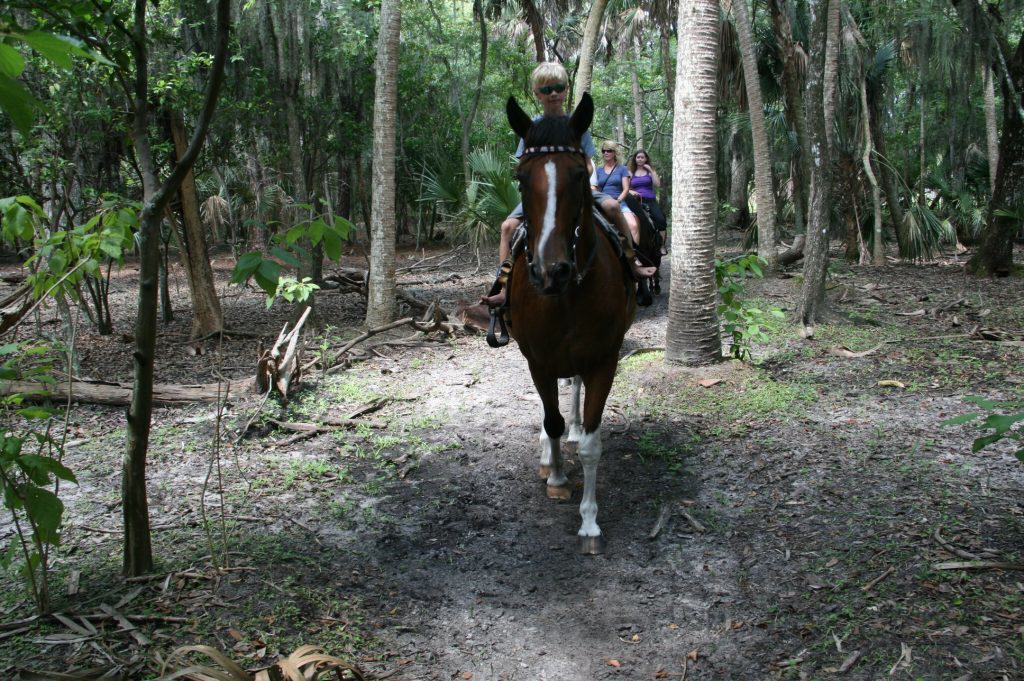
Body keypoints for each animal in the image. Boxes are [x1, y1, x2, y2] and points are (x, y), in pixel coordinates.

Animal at [505, 94, 638, 552]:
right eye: (520, 178)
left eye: (580, 174)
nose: (552, 271)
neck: (564, 297)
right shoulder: (538, 360)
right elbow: (551, 420)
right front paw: (559, 477)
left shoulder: (603, 360)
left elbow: (593, 443)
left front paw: (590, 521)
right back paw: (550, 456)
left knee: (574, 391)